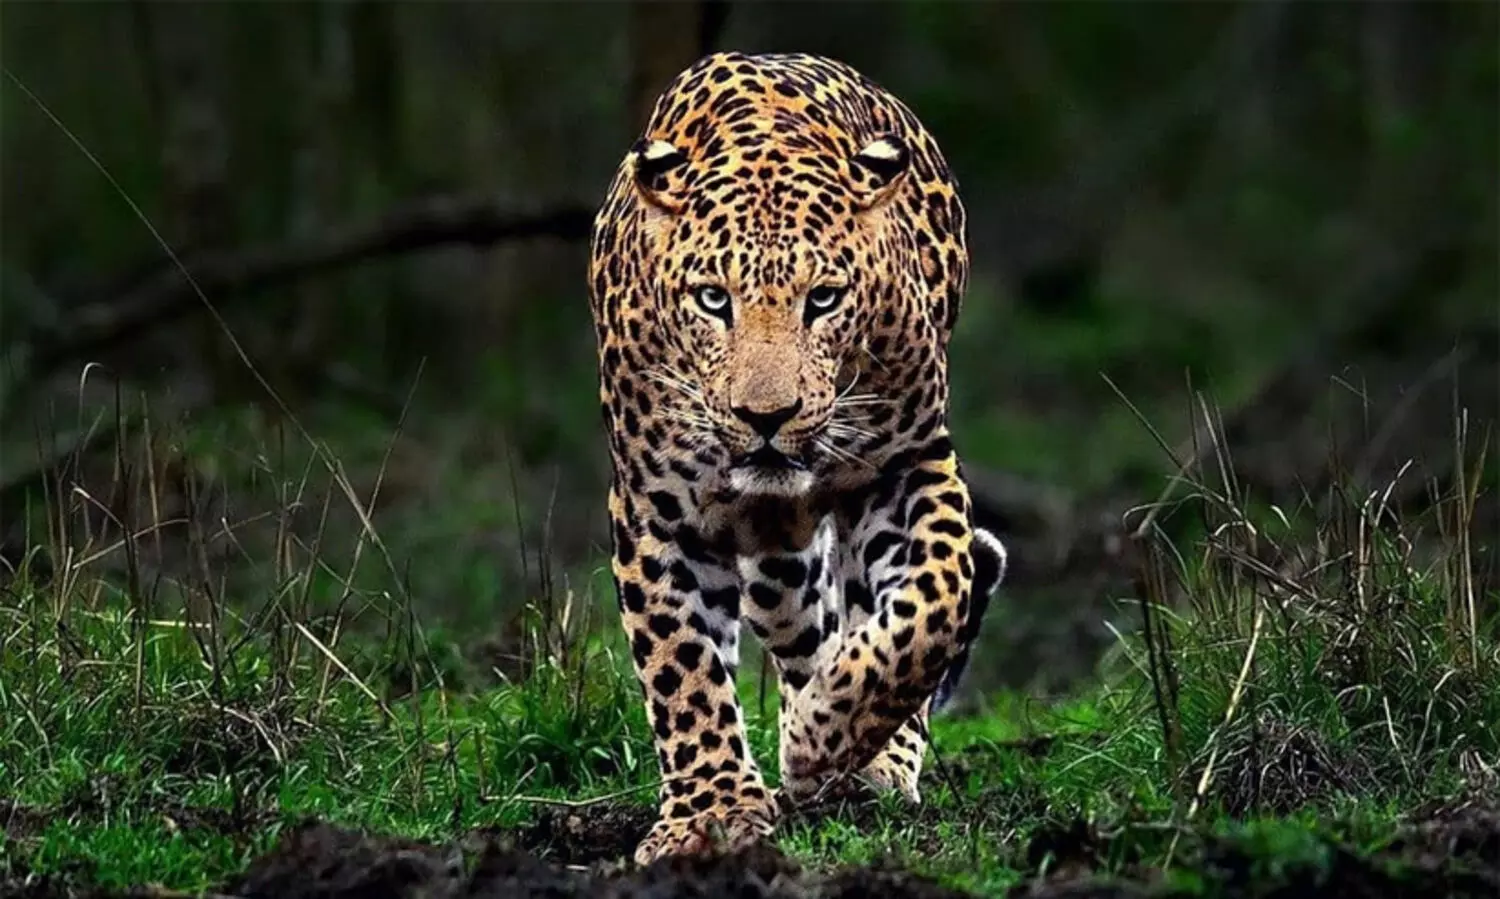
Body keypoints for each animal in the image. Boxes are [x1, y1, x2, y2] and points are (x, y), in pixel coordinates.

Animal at [586, 50, 1009, 866]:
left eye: (824, 299)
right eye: (712, 299)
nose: (765, 417)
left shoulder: (908, 462)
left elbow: (935, 600)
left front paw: (826, 735)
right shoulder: (655, 508)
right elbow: (682, 666)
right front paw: (710, 815)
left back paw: (864, 758)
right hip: (776, 561)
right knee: (802, 626)